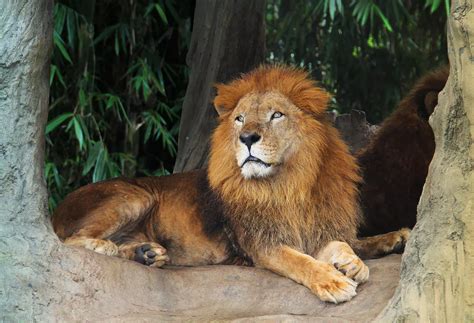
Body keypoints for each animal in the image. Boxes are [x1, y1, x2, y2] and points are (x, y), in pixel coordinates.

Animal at [51, 65, 408, 304]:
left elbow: (348, 243)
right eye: (239, 119)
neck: (290, 185)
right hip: (134, 196)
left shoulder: (319, 228)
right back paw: (109, 247)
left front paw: (358, 259)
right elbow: (301, 261)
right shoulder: (263, 245)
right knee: (70, 239)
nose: (247, 137)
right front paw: (333, 282)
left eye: (276, 115)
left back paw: (145, 253)